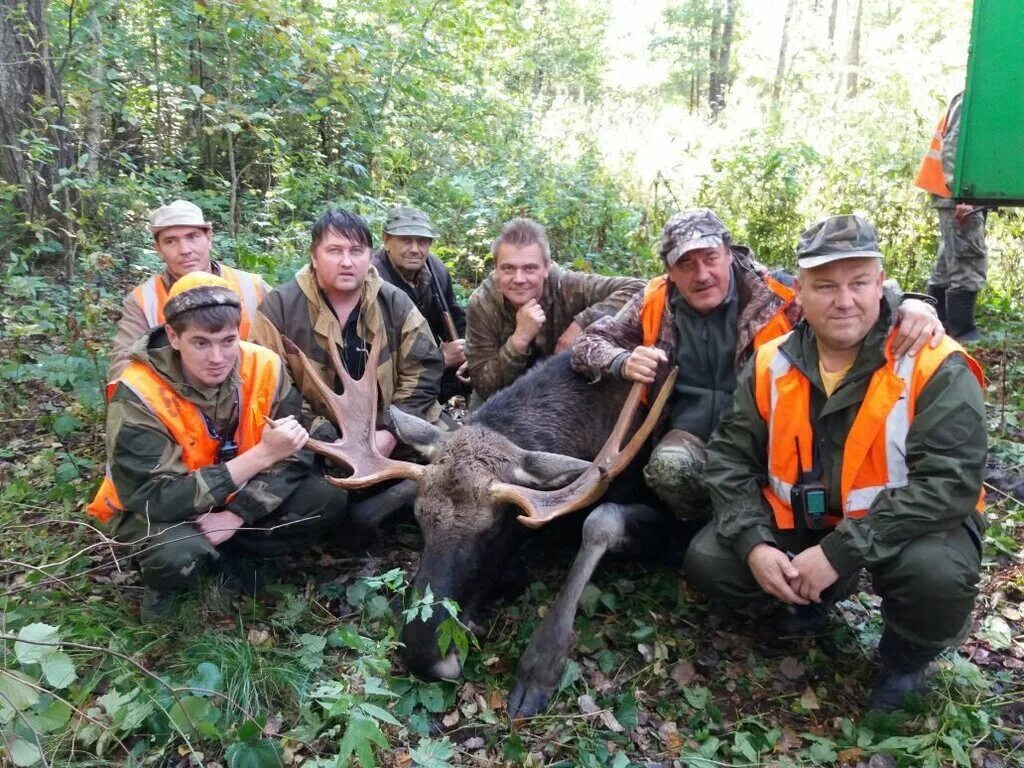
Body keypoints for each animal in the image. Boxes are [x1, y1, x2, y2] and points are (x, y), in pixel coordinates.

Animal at [288, 333, 679, 720]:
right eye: (420, 519)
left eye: (493, 528)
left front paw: (537, 670)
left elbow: (599, 522)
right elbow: (373, 507)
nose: (422, 654)